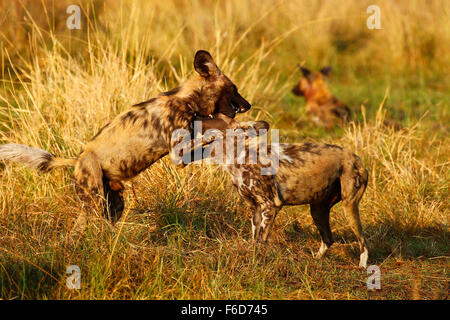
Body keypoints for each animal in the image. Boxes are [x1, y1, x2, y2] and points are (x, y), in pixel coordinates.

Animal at [0, 48, 260, 231]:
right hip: (94, 198)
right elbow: (214, 133)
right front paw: (238, 130)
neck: (187, 100)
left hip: (112, 202)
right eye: (234, 88)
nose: (248, 105)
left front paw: (247, 128)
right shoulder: (179, 154)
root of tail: (76, 161)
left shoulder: (188, 148)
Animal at [200, 124, 370, 268]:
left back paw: (362, 268)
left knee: (363, 242)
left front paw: (257, 262)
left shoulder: (271, 206)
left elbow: (261, 240)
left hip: (349, 207)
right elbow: (255, 239)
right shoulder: (255, 209)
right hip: (317, 210)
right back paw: (315, 260)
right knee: (328, 239)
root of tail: (356, 158)